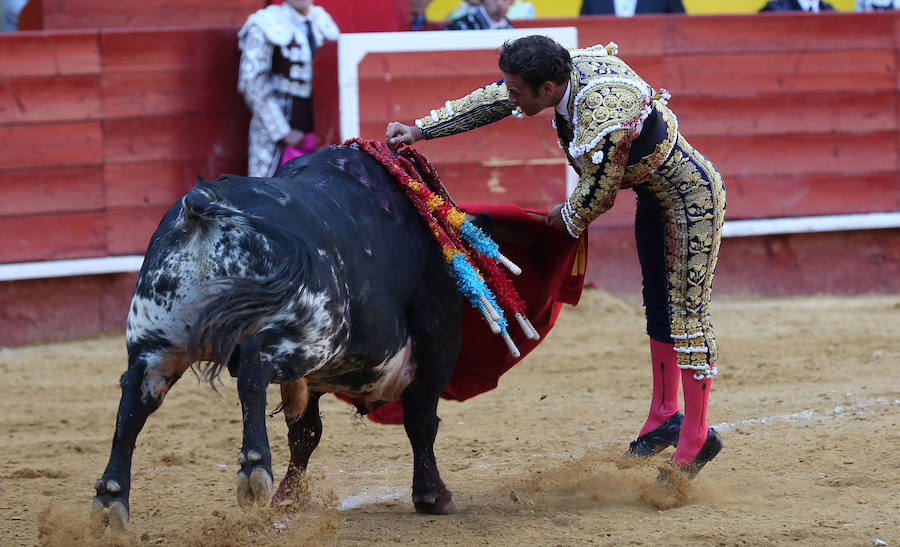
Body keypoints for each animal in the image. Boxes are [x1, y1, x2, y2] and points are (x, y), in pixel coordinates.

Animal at [92, 143, 472, 532]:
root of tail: (203, 202)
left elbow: (305, 432)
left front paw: (290, 499)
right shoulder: (438, 340)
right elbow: (420, 419)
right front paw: (432, 495)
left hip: (156, 342)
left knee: (134, 400)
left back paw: (110, 499)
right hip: (313, 333)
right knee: (253, 369)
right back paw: (254, 468)